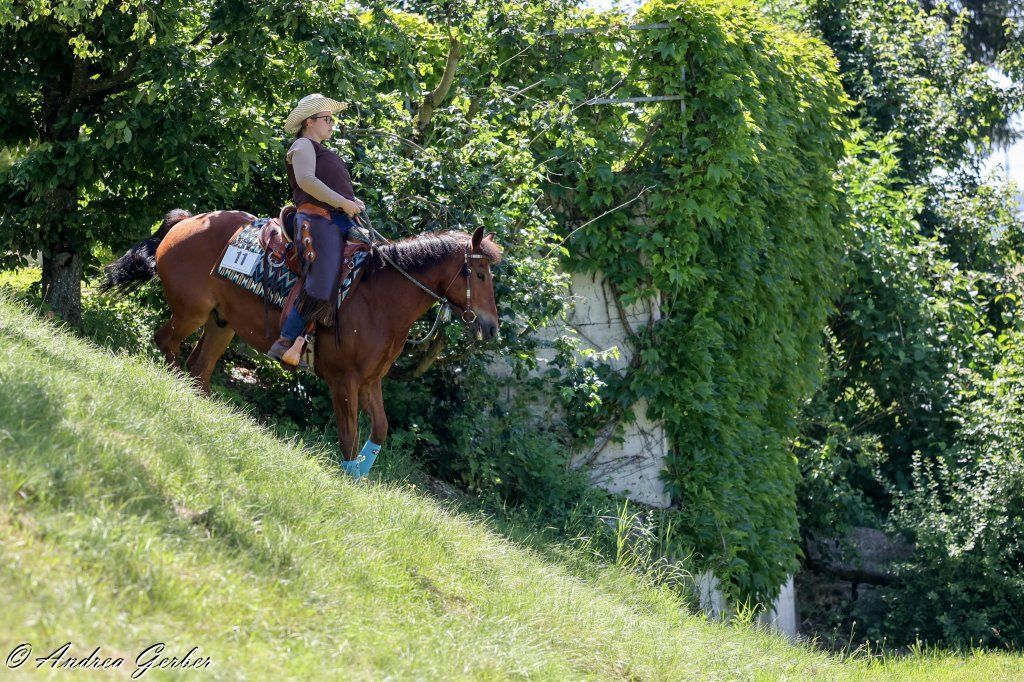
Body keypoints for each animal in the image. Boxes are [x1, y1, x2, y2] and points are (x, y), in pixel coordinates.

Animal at [102, 209, 502, 469]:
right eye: (481, 274)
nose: (491, 327)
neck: (378, 299)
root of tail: (186, 221)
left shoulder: (370, 381)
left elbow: (380, 430)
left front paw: (362, 475)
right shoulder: (344, 381)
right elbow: (348, 439)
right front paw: (349, 480)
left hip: (220, 323)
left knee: (198, 368)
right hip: (192, 313)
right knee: (166, 342)